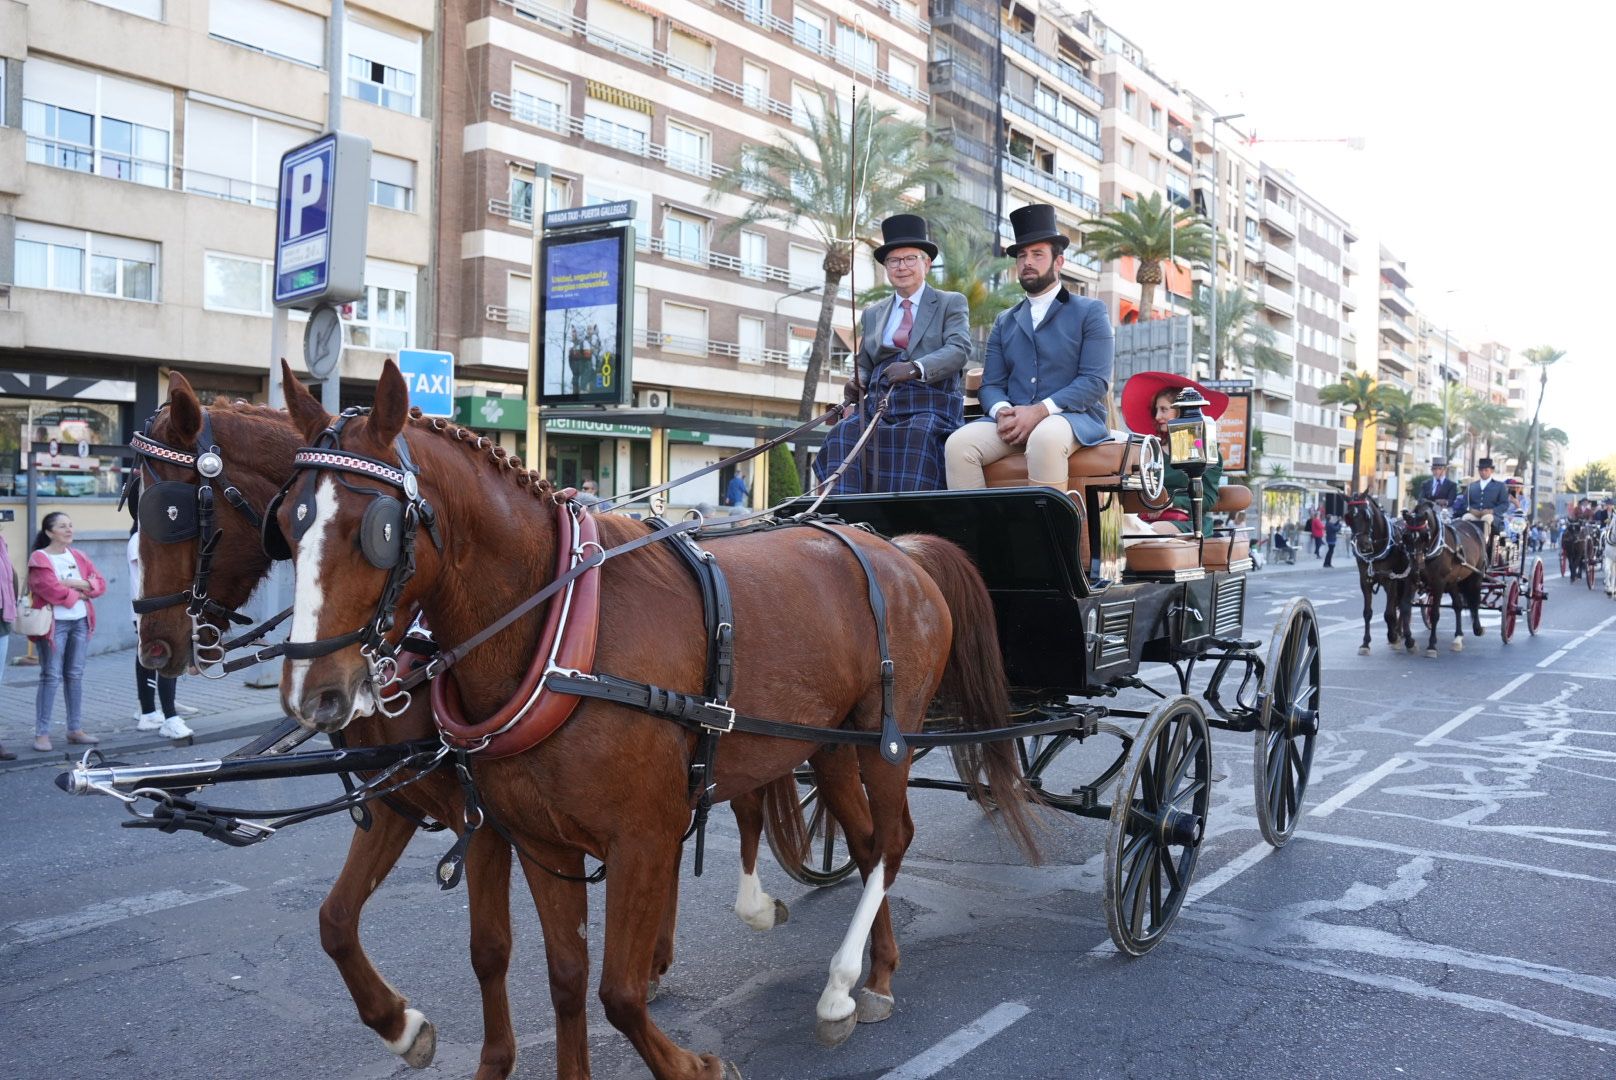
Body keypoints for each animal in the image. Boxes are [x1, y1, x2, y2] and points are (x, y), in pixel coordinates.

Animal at [274, 362, 1034, 1080]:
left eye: (376, 530)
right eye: (287, 524)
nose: (314, 695)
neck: (563, 628)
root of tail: (901, 549)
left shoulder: (637, 836)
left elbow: (619, 992)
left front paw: (693, 1064)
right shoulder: (538, 840)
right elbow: (565, 976)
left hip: (885, 741)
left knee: (896, 840)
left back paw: (843, 984)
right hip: (829, 746)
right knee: (872, 843)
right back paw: (872, 976)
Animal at [1402, 501, 1486, 659]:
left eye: (1425, 536)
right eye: (1406, 536)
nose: (1416, 566)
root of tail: (1474, 527)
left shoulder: (1438, 583)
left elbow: (1435, 614)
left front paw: (1431, 646)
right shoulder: (1411, 581)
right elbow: (1405, 609)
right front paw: (1410, 642)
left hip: (1476, 576)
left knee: (1474, 602)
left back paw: (1477, 628)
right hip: (1453, 582)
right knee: (1458, 606)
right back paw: (1458, 637)